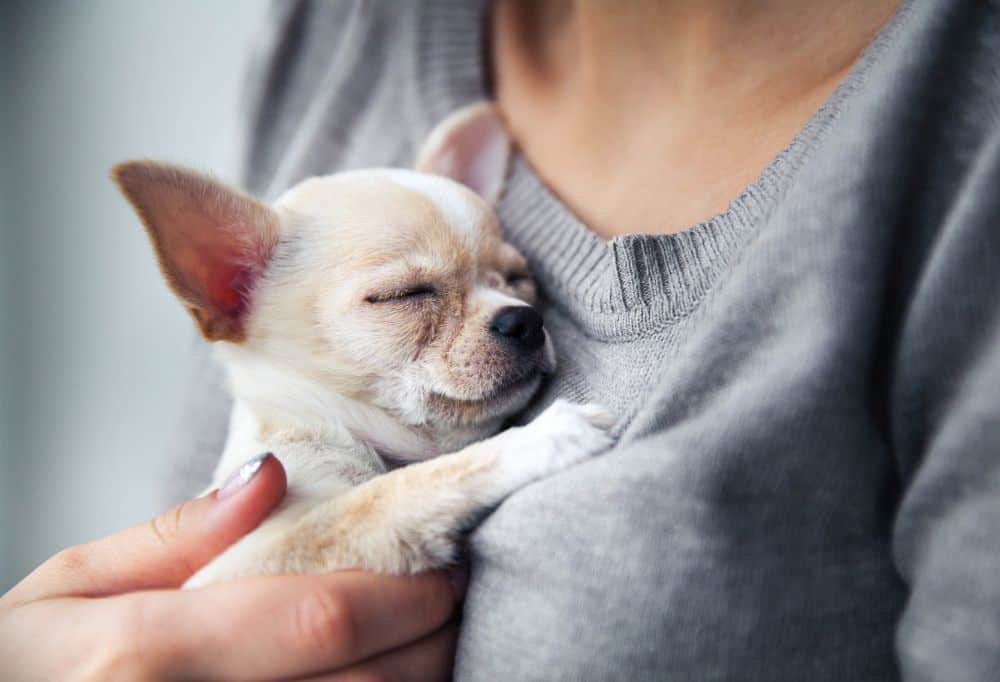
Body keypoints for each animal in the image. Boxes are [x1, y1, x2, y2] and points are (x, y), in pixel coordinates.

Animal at [109, 103, 608, 588]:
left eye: (519, 280)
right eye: (405, 295)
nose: (524, 320)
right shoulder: (250, 556)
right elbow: (388, 492)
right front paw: (539, 438)